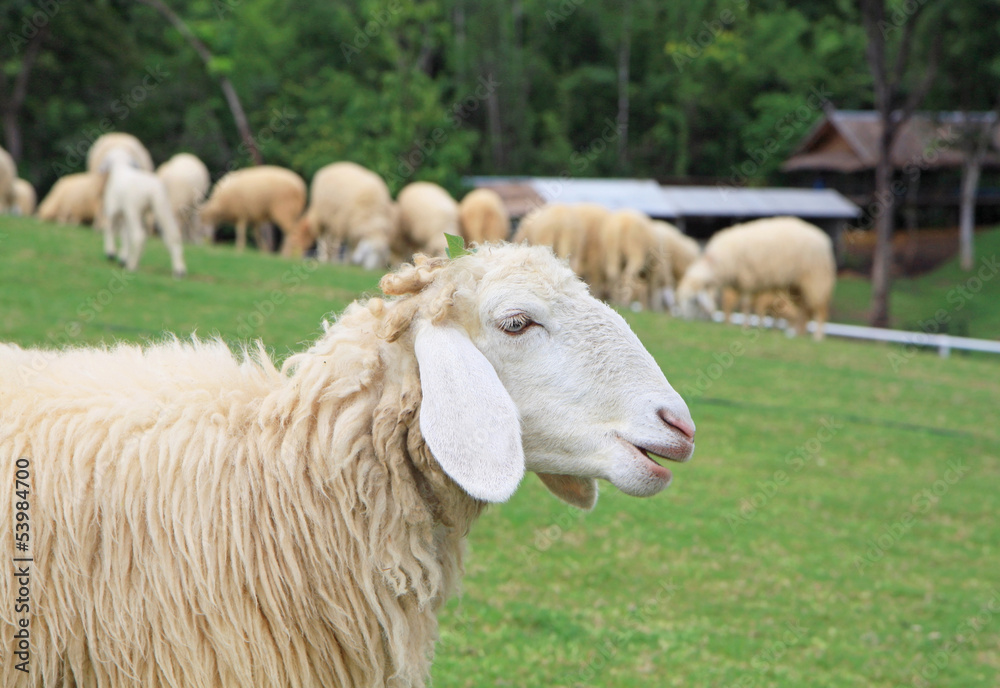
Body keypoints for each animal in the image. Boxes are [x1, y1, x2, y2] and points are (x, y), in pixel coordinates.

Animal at [101, 148, 187, 277]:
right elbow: (125, 234)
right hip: (162, 206)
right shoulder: (128, 213)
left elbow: (111, 229)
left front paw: (111, 253)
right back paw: (179, 270)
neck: (121, 167)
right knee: (173, 234)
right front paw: (123, 257)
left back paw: (131, 265)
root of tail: (151, 189)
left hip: (133, 208)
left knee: (138, 235)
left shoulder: (114, 209)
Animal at [676, 216, 836, 340]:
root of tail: (823, 238)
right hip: (797, 285)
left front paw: (745, 326)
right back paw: (798, 334)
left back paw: (817, 336)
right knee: (804, 309)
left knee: (820, 309)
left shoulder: (747, 279)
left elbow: (745, 305)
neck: (719, 262)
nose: (685, 320)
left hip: (815, 278)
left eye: (693, 300)